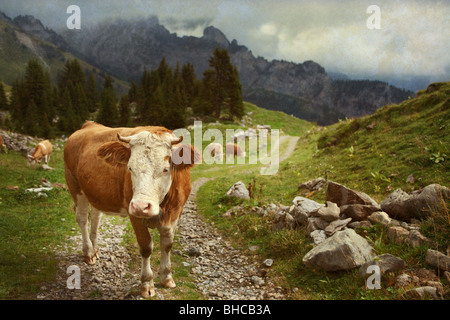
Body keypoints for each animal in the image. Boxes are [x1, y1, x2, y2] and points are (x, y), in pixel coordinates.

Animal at [63, 120, 199, 298]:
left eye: (165, 169)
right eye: (130, 168)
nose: (141, 206)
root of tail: (89, 125)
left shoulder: (176, 212)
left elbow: (167, 244)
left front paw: (167, 277)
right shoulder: (134, 214)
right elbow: (146, 247)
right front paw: (147, 284)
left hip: (95, 193)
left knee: (95, 218)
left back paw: (95, 249)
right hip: (75, 187)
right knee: (82, 218)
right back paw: (89, 253)